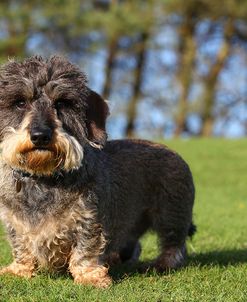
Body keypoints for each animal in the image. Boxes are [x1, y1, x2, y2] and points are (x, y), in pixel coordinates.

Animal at [0, 56, 196, 288]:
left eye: (62, 103)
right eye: (20, 102)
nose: (40, 136)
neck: (45, 178)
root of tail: (175, 153)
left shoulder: (89, 220)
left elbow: (86, 250)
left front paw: (90, 276)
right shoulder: (14, 222)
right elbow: (21, 247)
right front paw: (19, 270)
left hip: (171, 215)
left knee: (174, 245)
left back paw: (162, 263)